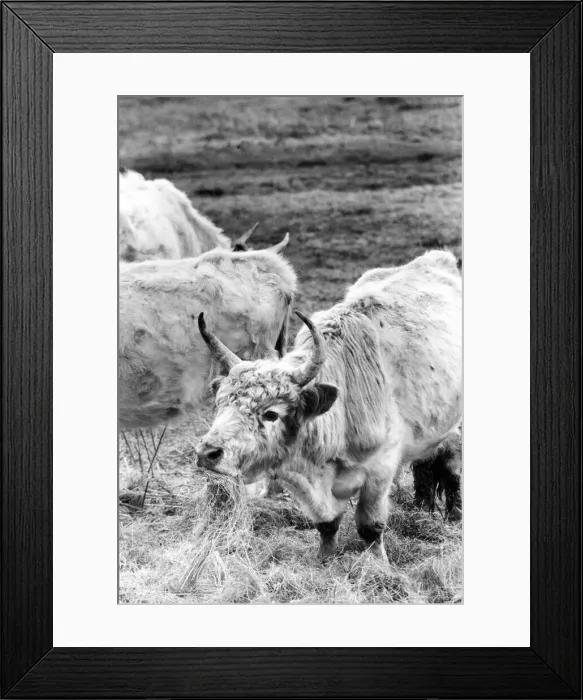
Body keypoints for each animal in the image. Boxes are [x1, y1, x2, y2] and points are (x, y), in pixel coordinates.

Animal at [194, 250, 462, 561]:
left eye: (271, 413)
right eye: (220, 404)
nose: (207, 453)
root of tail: (436, 257)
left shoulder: (381, 469)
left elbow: (371, 525)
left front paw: (377, 563)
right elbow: (327, 522)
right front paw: (325, 558)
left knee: (453, 463)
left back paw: (455, 514)